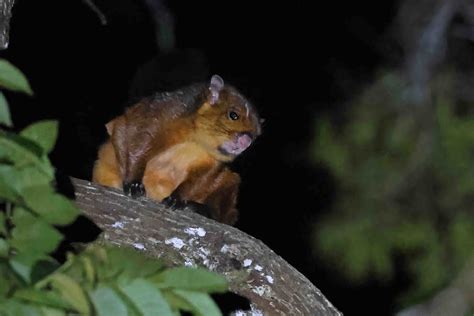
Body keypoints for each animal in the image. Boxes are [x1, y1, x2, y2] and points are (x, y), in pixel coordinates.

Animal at [91, 74, 262, 225]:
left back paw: (200, 209)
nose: (246, 141)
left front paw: (177, 199)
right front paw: (134, 183)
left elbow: (201, 179)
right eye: (233, 115)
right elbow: (133, 140)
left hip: (229, 181)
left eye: (255, 135)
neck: (195, 140)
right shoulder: (162, 114)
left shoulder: (214, 163)